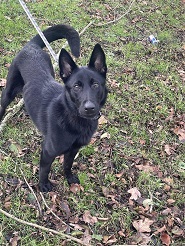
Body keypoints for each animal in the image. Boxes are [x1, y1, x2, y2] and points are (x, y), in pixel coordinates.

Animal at [0, 24, 107, 191]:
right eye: (76, 86)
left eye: (95, 85)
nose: (89, 108)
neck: (72, 117)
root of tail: (31, 46)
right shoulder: (48, 151)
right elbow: (44, 170)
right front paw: (43, 185)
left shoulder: (73, 150)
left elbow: (67, 165)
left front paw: (69, 178)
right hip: (9, 91)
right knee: (3, 104)